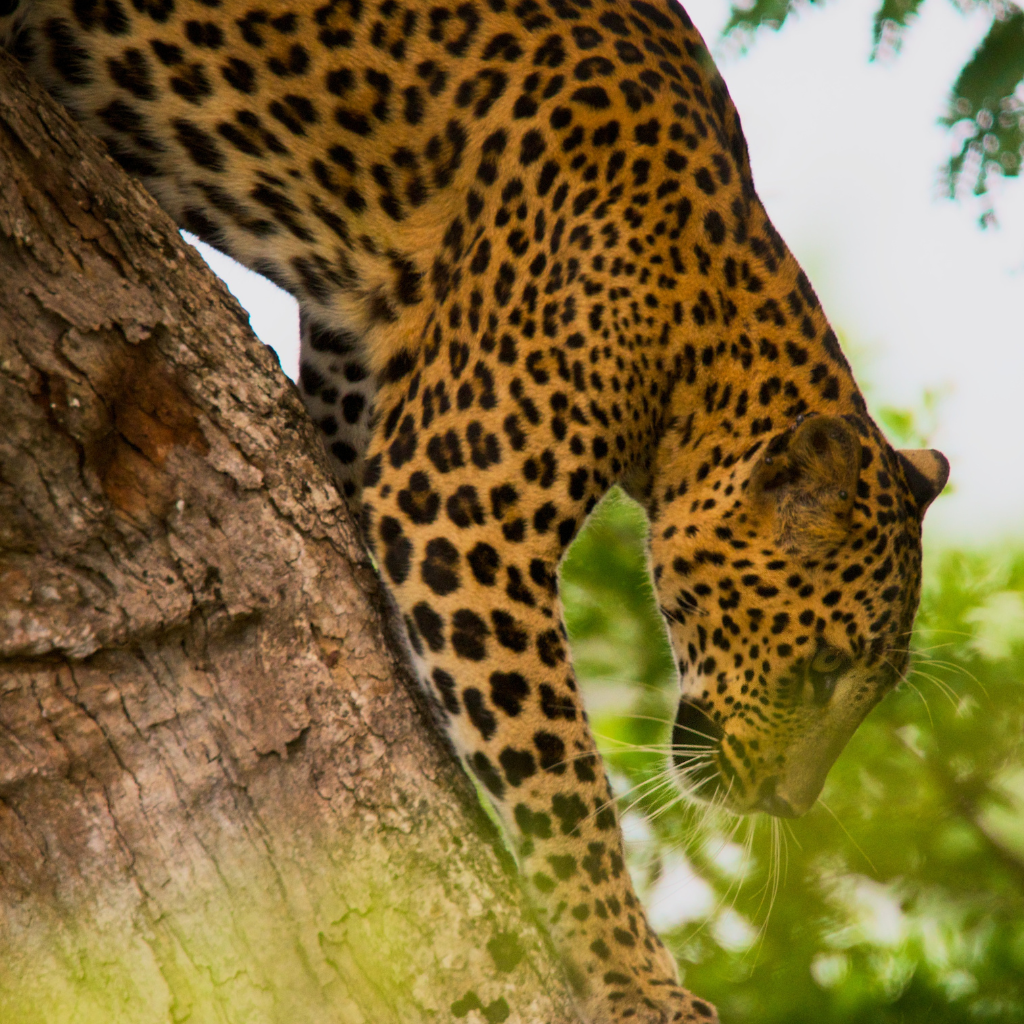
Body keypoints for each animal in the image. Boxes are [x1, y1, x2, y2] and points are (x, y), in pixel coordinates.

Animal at [2, 0, 950, 1019]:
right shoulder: (458, 510)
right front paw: (633, 977)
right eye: (822, 669)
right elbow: (558, 775)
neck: (705, 337)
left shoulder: (364, 385)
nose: (788, 803)